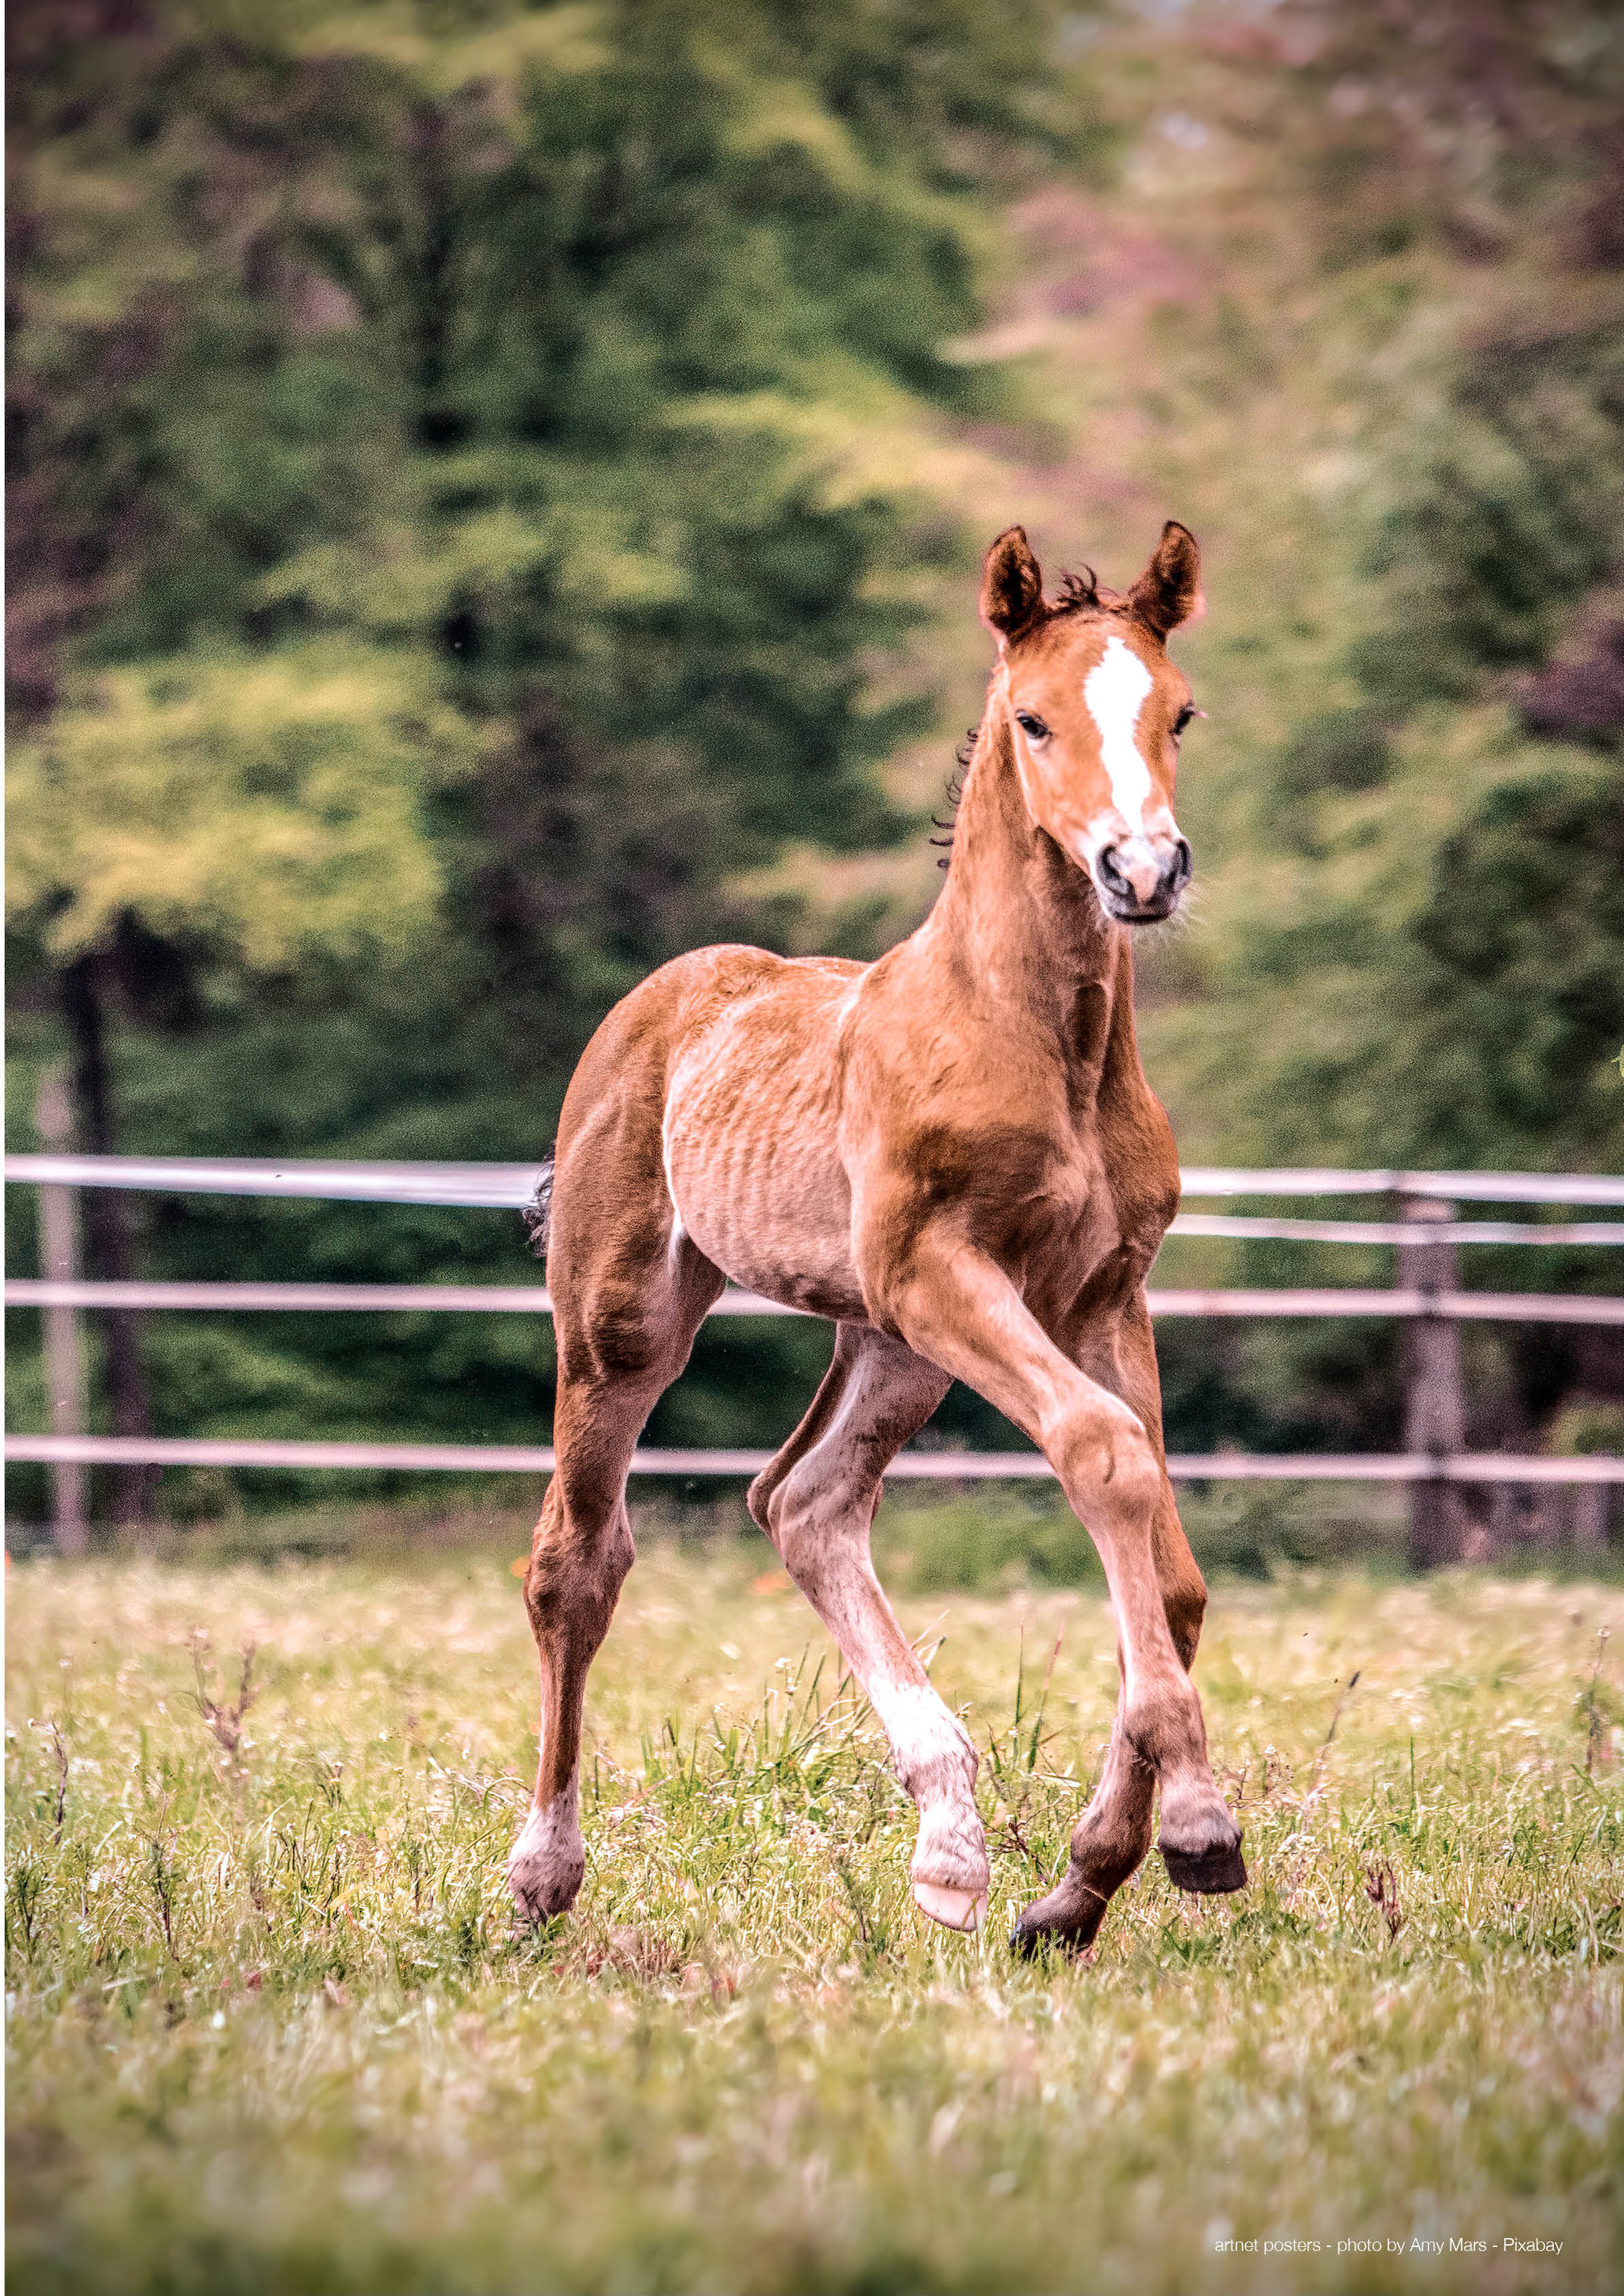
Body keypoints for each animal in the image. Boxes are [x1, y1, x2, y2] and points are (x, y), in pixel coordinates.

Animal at [507, 521, 1249, 1956]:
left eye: (1179, 711)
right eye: (1030, 719)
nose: (1140, 871)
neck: (1038, 1039)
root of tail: (657, 998)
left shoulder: (1100, 1293)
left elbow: (1169, 1569)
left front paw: (1076, 1886)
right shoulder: (942, 1271)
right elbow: (1101, 1455)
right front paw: (1192, 1829)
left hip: (888, 1345)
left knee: (801, 1500)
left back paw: (949, 1846)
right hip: (633, 1320)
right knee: (577, 1559)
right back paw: (540, 1872)